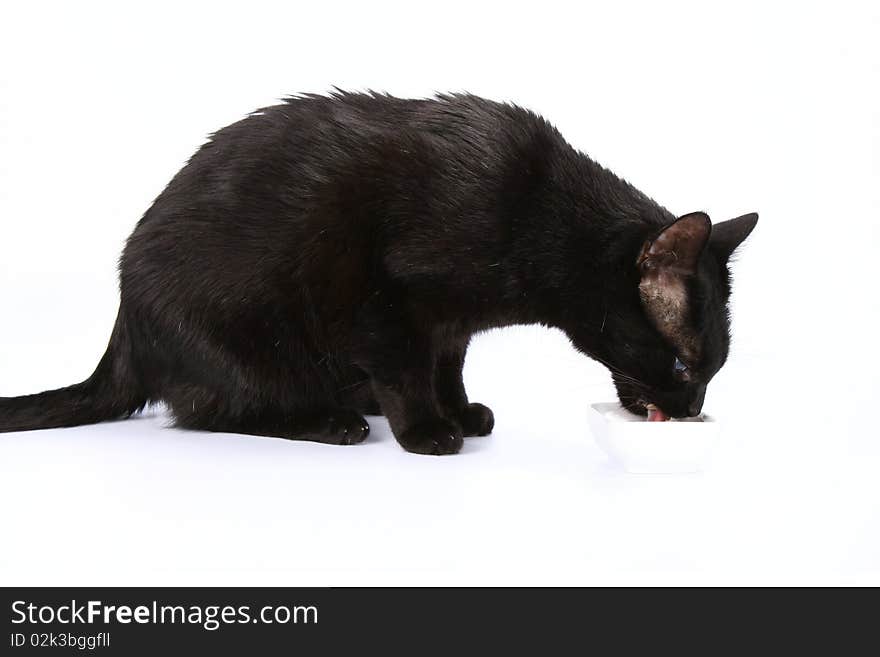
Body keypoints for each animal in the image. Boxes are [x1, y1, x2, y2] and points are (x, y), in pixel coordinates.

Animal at [0, 91, 756, 452]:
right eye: (684, 365)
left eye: (712, 371)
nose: (692, 410)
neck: (540, 212)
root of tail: (124, 328)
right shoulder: (387, 301)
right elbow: (407, 370)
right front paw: (427, 430)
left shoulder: (450, 324)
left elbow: (447, 366)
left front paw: (458, 410)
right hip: (252, 341)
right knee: (216, 412)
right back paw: (333, 420)